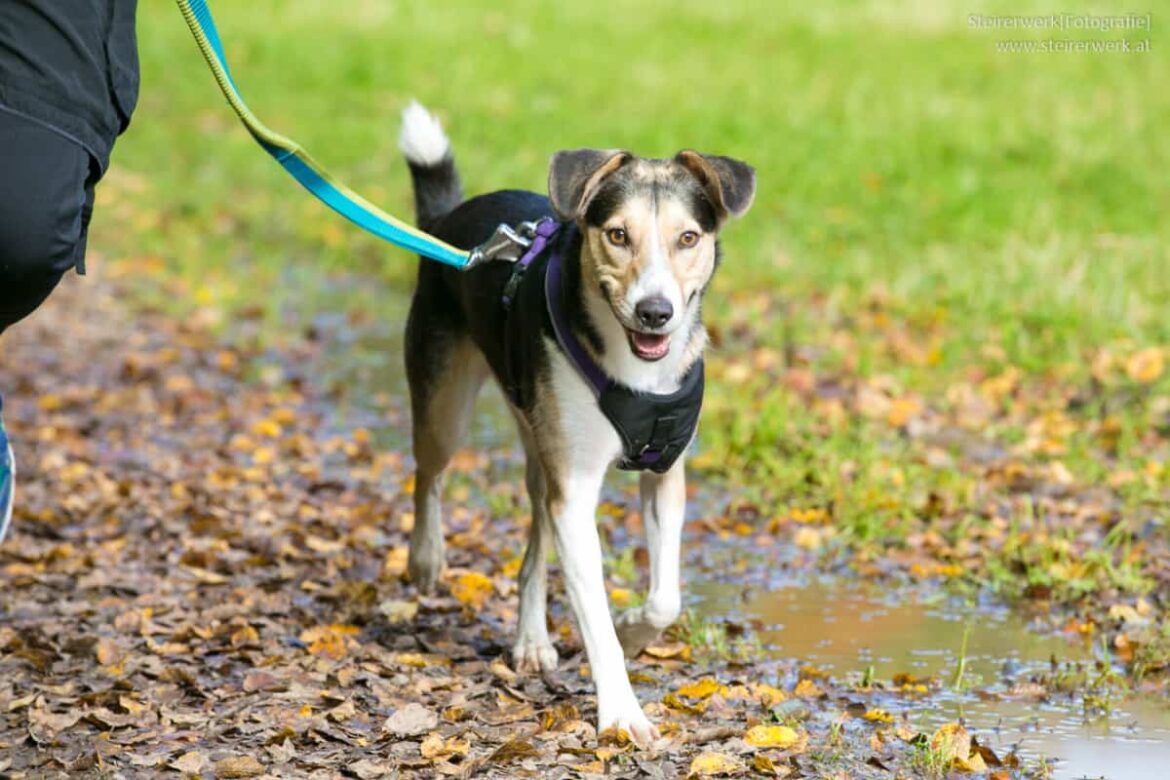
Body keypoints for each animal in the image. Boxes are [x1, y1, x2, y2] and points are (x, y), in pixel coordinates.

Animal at [397, 100, 753, 743]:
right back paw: (426, 558)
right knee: (428, 474)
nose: (655, 312)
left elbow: (665, 599)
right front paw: (622, 714)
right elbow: (596, 621)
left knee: (534, 539)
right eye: (618, 235)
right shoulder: (577, 490)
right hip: (446, 406)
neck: (636, 375)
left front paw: (636, 629)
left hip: (539, 442)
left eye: (688, 238)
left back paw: (531, 639)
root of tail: (448, 218)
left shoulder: (664, 472)